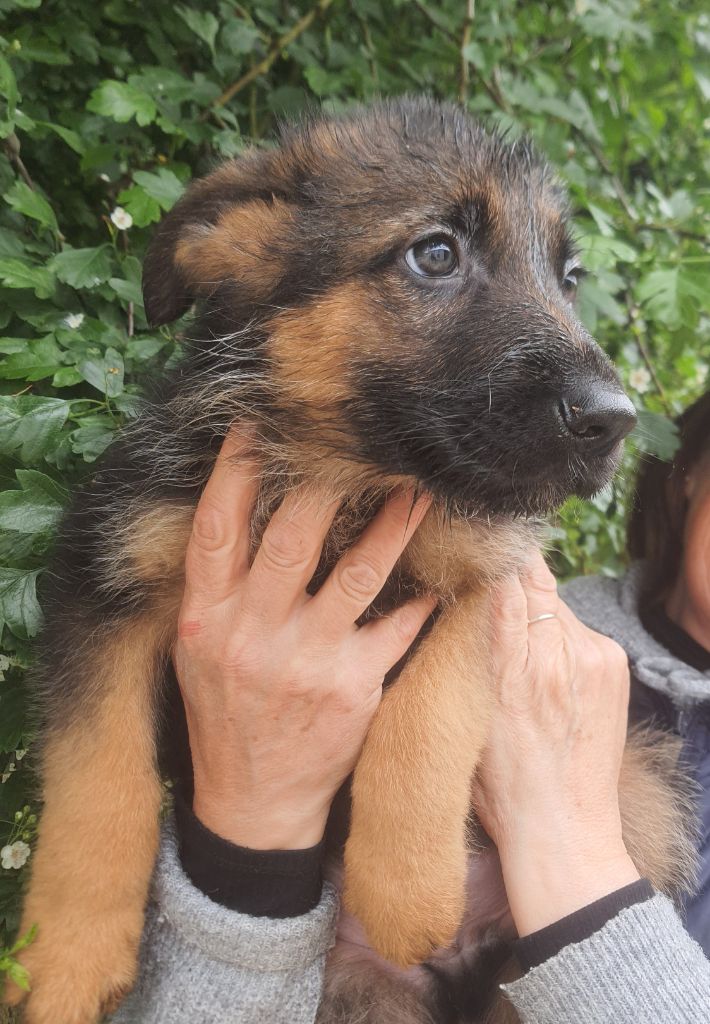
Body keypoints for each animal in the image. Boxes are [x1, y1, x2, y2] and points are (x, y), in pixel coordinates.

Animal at [5, 97, 692, 1024]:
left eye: (569, 277)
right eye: (435, 253)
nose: (614, 420)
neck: (349, 470)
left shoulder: (486, 579)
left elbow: (429, 709)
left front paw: (408, 889)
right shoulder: (103, 582)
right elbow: (98, 779)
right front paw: (68, 958)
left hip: (637, 790)